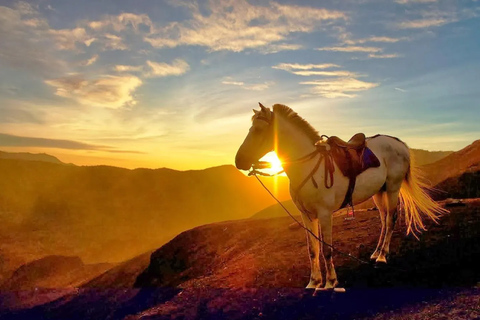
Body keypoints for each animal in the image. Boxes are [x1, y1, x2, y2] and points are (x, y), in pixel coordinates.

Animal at [234, 104, 448, 292]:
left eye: (258, 130)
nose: (239, 161)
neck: (308, 165)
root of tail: (398, 142)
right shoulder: (306, 215)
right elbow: (312, 250)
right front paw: (314, 282)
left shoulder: (325, 214)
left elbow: (326, 249)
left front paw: (330, 282)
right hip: (379, 193)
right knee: (383, 219)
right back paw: (376, 252)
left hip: (393, 188)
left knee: (391, 219)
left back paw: (382, 256)